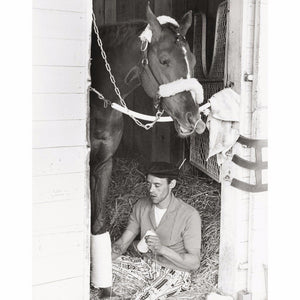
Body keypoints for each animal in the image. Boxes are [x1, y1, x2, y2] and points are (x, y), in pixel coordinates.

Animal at [90, 3, 205, 236]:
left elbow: (96, 225)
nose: (193, 117)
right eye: (164, 60)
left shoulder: (104, 163)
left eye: (193, 61)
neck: (99, 104)